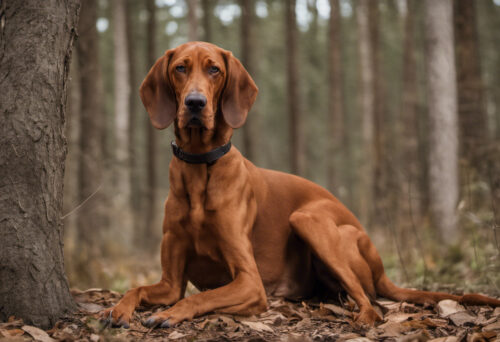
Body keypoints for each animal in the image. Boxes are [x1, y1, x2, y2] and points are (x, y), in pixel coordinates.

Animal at [98, 41, 500, 330]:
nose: (195, 103)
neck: (200, 167)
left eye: (214, 69)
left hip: (308, 219)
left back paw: (361, 318)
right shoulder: (169, 282)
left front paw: (171, 314)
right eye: (180, 68)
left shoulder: (250, 283)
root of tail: (382, 268)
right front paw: (117, 310)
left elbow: (196, 298)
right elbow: (137, 288)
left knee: (373, 303)